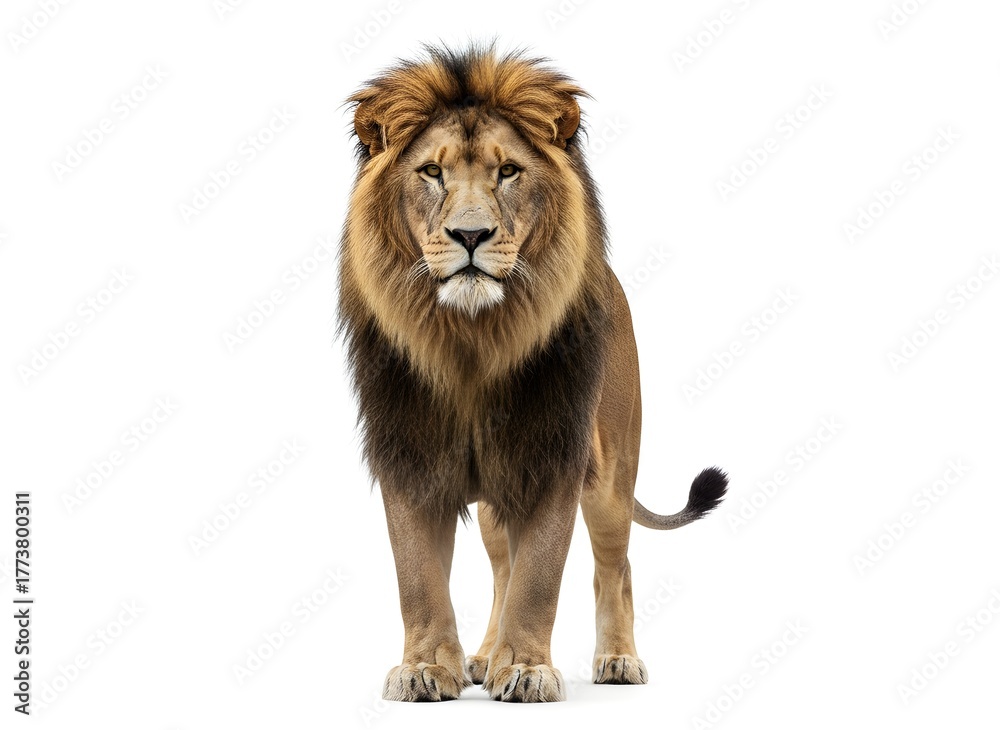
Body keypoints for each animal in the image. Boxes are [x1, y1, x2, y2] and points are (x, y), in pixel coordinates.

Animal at [338, 45, 728, 703]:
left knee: (614, 565)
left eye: (508, 172)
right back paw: (482, 655)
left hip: (611, 474)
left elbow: (539, 575)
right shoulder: (410, 450)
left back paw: (617, 660)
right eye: (432, 172)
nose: (471, 234)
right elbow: (418, 575)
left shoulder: (552, 452)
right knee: (500, 566)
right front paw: (426, 667)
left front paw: (524, 669)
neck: (470, 340)